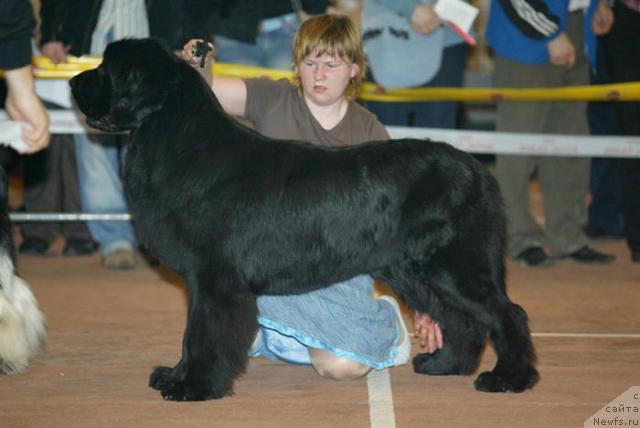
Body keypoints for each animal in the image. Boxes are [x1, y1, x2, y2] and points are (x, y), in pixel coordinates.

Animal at [70, 39, 540, 402]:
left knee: (507, 313)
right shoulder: (205, 279)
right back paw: (445, 363)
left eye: (109, 70)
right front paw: (175, 374)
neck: (179, 141)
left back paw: (509, 378)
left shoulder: (215, 276)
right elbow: (191, 334)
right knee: (461, 317)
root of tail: (478, 169)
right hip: (416, 269)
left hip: (454, 263)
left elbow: (203, 332)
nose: (73, 80)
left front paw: (194, 386)